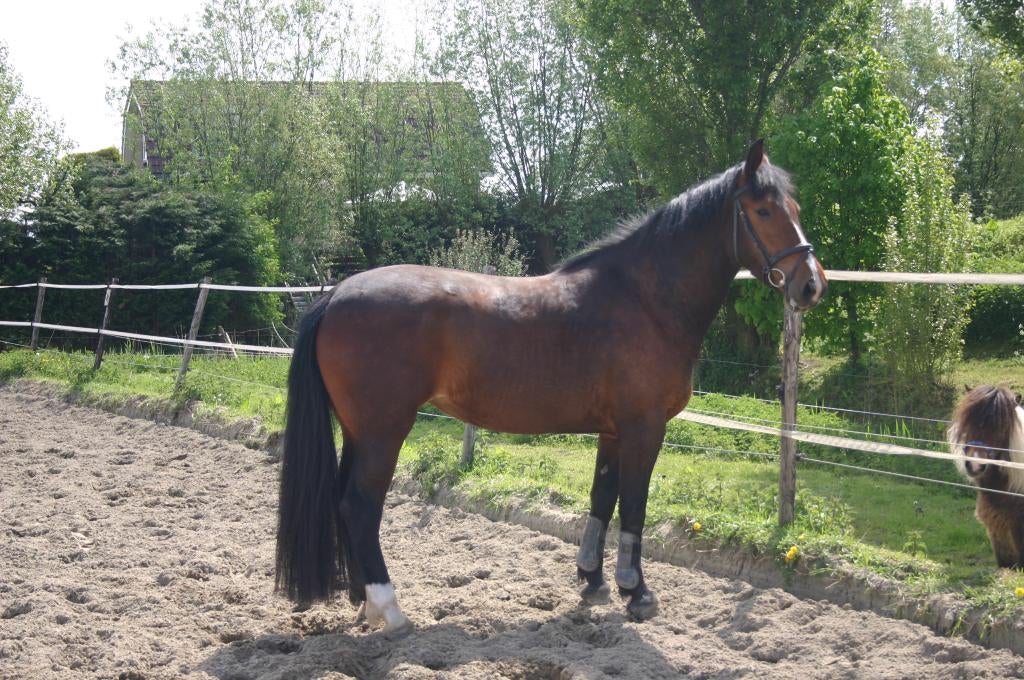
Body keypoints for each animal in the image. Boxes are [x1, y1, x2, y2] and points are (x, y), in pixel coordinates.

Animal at [275, 140, 827, 635]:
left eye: (796, 209)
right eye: (762, 210)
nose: (812, 285)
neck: (645, 299)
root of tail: (336, 294)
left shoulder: (614, 431)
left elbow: (602, 499)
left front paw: (594, 581)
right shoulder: (644, 428)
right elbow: (635, 504)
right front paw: (637, 592)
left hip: (358, 431)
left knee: (344, 502)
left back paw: (362, 601)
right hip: (384, 432)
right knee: (359, 506)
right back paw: (390, 610)